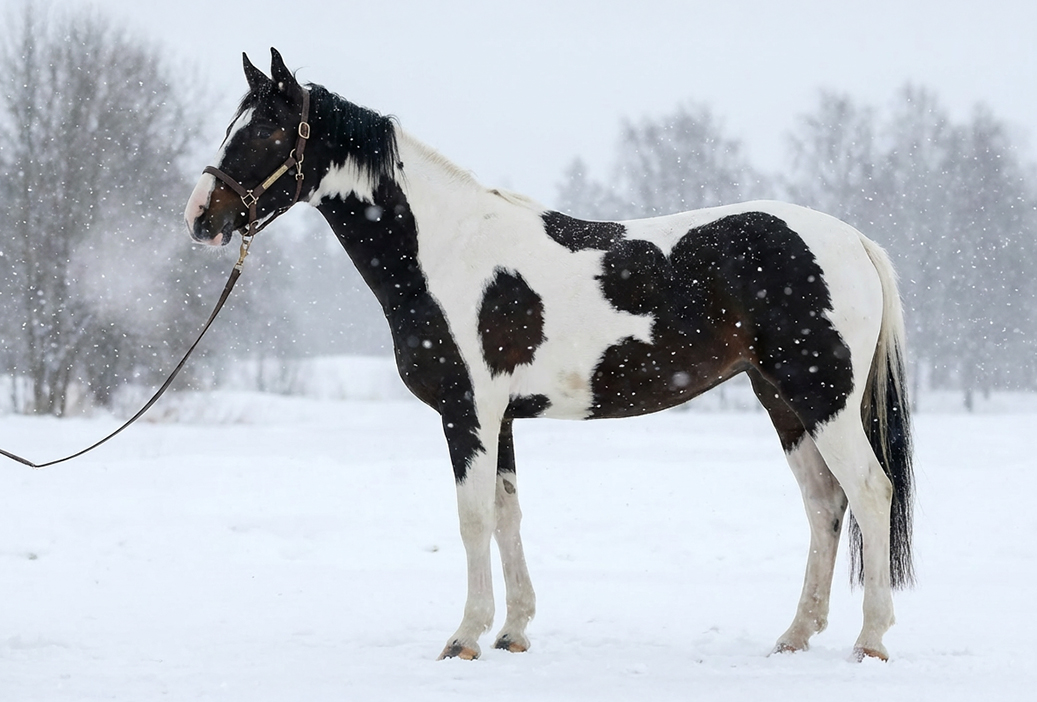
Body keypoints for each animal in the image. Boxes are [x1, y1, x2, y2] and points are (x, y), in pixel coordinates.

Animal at [185, 49, 914, 662]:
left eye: (265, 132)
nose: (200, 218)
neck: (446, 250)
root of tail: (854, 240)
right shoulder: (500, 418)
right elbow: (507, 513)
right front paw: (512, 631)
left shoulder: (468, 412)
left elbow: (473, 516)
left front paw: (465, 637)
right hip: (782, 400)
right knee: (823, 505)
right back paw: (795, 636)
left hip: (823, 397)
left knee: (869, 490)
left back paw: (871, 641)